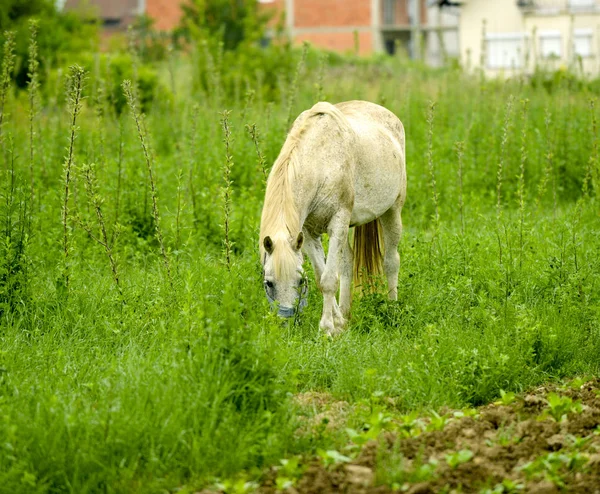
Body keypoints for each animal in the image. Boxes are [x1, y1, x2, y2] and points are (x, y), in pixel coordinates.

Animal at [258, 102, 408, 338]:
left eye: (300, 281)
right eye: (269, 283)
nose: (286, 324)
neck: (320, 162)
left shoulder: (337, 222)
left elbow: (329, 279)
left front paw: (327, 328)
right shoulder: (308, 233)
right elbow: (323, 276)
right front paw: (338, 324)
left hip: (392, 212)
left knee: (391, 261)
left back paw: (392, 309)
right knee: (348, 263)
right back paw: (346, 313)